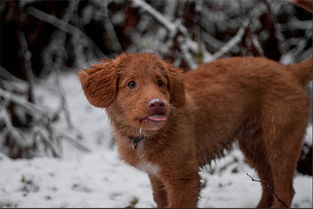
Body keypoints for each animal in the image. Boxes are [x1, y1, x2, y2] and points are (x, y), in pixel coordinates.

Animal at [78, 51, 312, 207]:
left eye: (160, 82)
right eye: (131, 84)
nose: (158, 103)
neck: (145, 136)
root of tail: (288, 70)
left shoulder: (184, 178)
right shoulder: (156, 176)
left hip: (281, 139)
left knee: (285, 190)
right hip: (254, 144)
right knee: (269, 183)